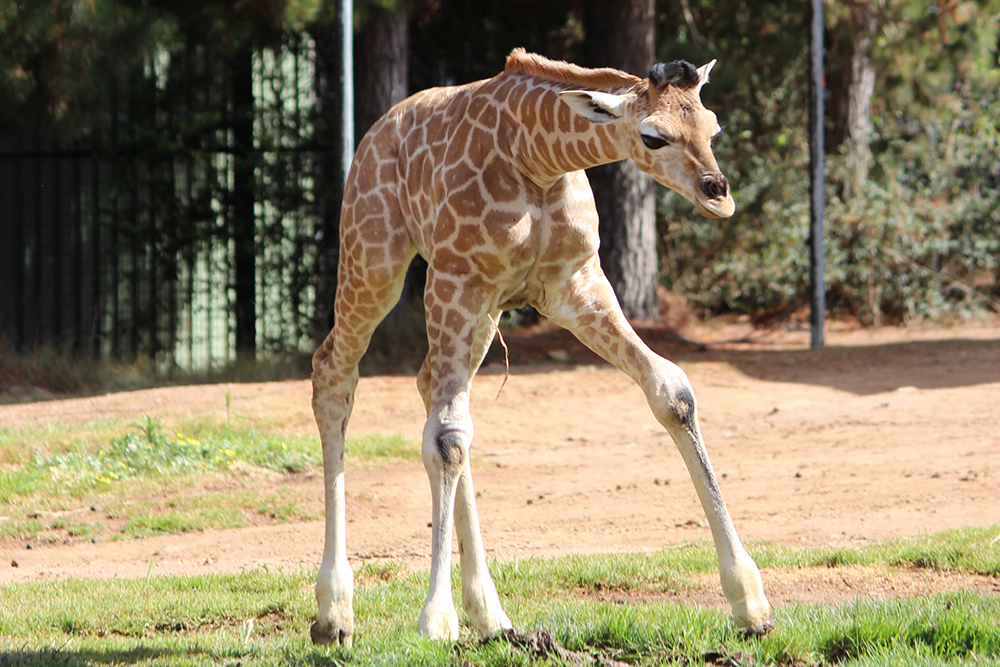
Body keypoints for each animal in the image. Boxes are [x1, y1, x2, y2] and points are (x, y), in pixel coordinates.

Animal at [309, 48, 774, 646]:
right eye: (653, 137)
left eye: (713, 127)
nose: (718, 193)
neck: (537, 158)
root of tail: (371, 137)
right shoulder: (457, 282)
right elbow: (448, 439)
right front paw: (436, 619)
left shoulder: (576, 283)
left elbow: (672, 389)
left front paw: (750, 603)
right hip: (376, 259)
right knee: (335, 373)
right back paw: (334, 613)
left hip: (481, 314)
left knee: (430, 387)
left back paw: (490, 614)